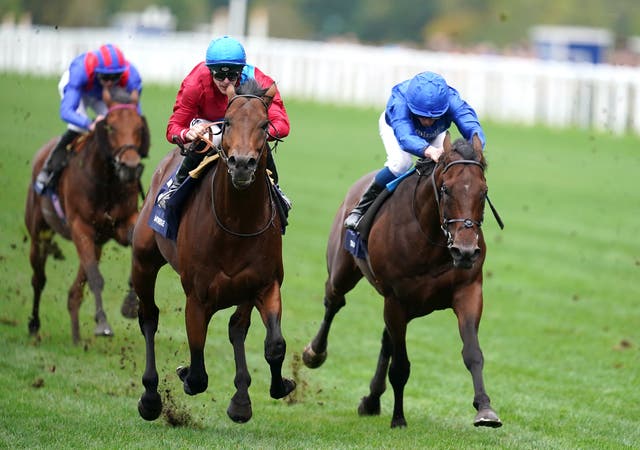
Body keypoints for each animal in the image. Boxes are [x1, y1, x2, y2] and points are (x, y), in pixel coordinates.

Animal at [25, 88, 150, 344]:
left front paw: (131, 303)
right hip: (39, 233)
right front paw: (102, 323)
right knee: (38, 279)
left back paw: (75, 336)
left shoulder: (122, 223)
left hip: (97, 242)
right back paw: (34, 325)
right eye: (110, 127)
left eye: (138, 127)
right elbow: (96, 278)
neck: (107, 181)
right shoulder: (80, 227)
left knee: (75, 291)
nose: (130, 167)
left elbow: (134, 244)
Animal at [133, 77, 298, 422]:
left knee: (237, 328)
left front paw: (272, 389)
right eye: (228, 121)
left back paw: (241, 397)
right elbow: (197, 371)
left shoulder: (264, 285)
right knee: (149, 318)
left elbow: (274, 344)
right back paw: (150, 397)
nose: (242, 165)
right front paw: (183, 374)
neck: (236, 222)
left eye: (265, 125)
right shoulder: (197, 297)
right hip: (143, 260)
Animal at [302, 133, 502, 428]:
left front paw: (485, 409)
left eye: (483, 191)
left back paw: (371, 399)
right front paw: (398, 418)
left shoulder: (468, 291)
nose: (465, 251)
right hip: (343, 270)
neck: (431, 239)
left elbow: (472, 353)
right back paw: (315, 353)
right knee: (333, 301)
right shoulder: (396, 299)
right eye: (446, 189)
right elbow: (400, 366)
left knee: (386, 338)